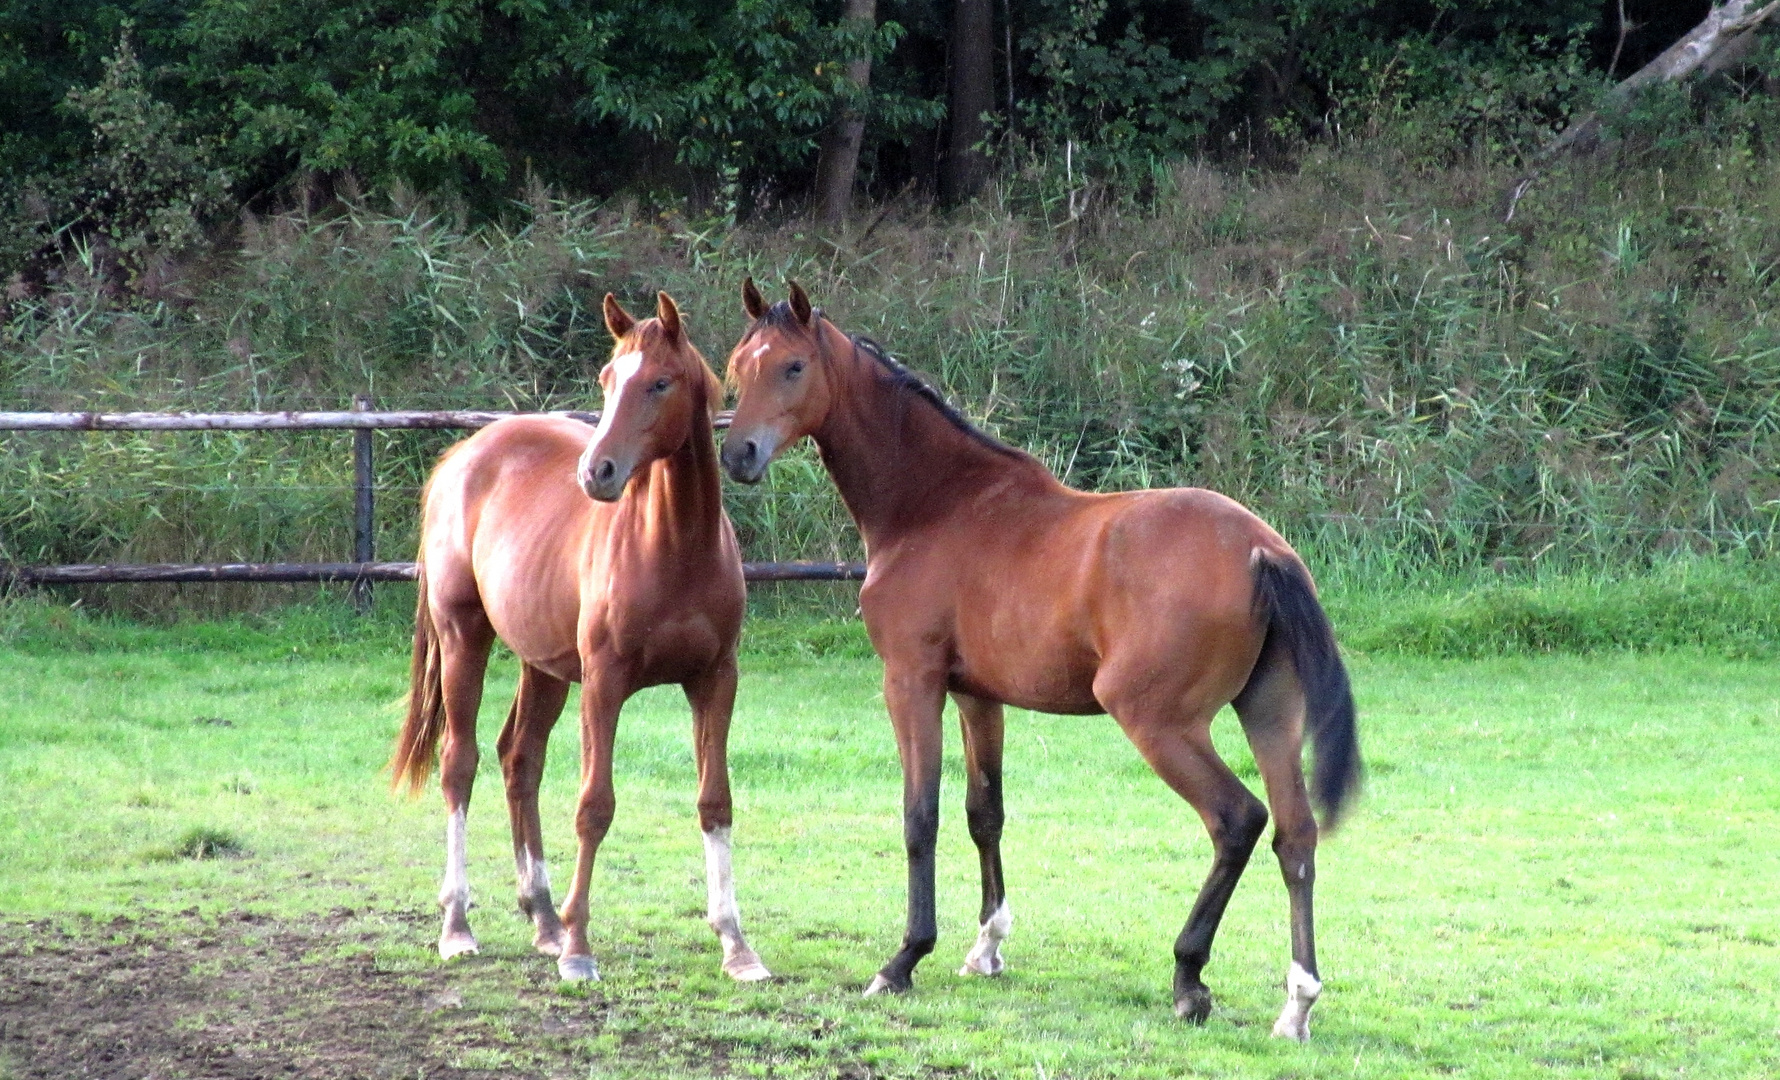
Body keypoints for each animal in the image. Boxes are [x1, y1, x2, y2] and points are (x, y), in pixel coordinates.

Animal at [393, 291, 768, 982]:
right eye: (607, 379)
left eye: (660, 382)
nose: (597, 472)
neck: (674, 547)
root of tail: (463, 456)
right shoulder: (605, 682)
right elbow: (595, 806)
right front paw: (579, 948)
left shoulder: (715, 680)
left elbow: (715, 801)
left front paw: (736, 944)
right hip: (465, 639)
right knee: (460, 764)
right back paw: (458, 925)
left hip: (541, 665)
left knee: (520, 760)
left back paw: (542, 916)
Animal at [715, 282, 1352, 1046]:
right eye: (738, 365)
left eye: (794, 367)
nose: (739, 454)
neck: (938, 505)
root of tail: (1262, 550)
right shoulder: (977, 696)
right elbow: (983, 812)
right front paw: (986, 946)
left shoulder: (912, 683)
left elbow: (920, 815)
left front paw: (904, 960)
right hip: (1267, 713)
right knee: (1296, 835)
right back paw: (1298, 1003)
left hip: (1158, 722)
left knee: (1237, 820)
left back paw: (1189, 979)